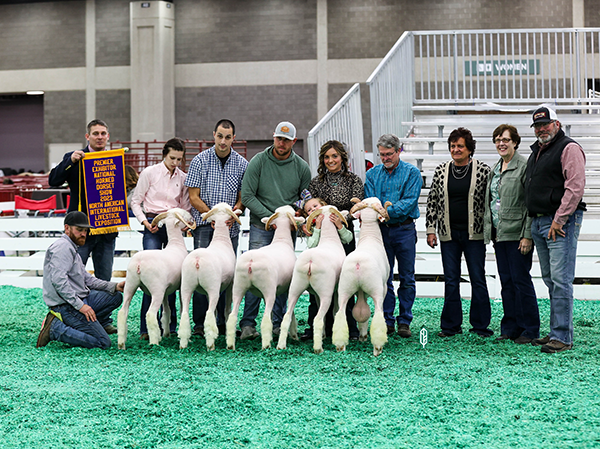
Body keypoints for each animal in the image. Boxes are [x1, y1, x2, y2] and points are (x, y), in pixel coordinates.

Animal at [178, 203, 242, 350]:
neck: (221, 239)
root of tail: (197, 260)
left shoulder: (205, 291)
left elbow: (215, 311)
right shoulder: (230, 284)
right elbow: (226, 308)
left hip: (186, 286)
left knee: (185, 314)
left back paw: (183, 344)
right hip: (213, 287)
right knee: (208, 314)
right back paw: (210, 344)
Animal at [226, 205, 305, 350]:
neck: (281, 240)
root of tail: (251, 262)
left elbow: (274, 313)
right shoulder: (287, 288)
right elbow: (289, 313)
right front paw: (294, 334)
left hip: (238, 287)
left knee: (232, 317)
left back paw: (230, 345)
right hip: (268, 289)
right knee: (265, 318)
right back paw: (266, 345)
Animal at [277, 205, 349, 354]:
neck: (329, 239)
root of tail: (310, 261)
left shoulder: (316, 293)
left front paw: (324, 335)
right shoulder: (336, 289)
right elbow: (335, 311)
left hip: (295, 288)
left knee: (287, 316)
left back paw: (281, 345)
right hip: (326, 292)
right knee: (318, 318)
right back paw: (318, 348)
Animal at [332, 197, 392, 356]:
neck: (370, 237)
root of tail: (358, 263)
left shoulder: (361, 291)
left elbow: (362, 311)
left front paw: (363, 335)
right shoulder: (383, 287)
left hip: (344, 289)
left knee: (341, 314)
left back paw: (340, 346)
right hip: (376, 289)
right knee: (378, 314)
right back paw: (378, 348)